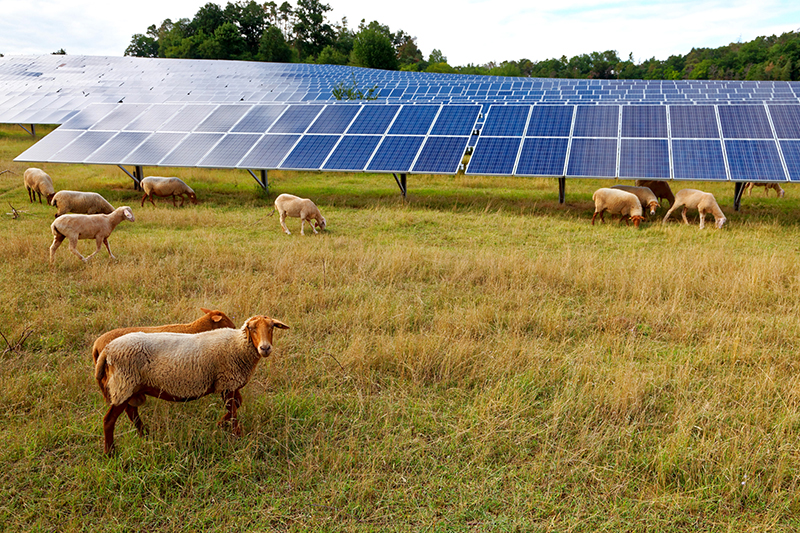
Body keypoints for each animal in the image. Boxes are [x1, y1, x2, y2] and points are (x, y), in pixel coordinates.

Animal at [96, 314, 290, 456]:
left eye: (271, 327)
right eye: (252, 328)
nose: (265, 348)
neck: (238, 345)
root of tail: (106, 350)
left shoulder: (227, 384)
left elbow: (236, 405)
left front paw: (221, 424)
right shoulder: (227, 381)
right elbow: (234, 411)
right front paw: (237, 435)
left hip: (130, 387)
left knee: (131, 412)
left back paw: (145, 435)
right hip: (123, 384)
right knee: (109, 420)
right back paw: (110, 452)